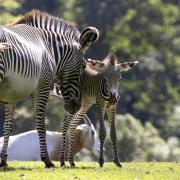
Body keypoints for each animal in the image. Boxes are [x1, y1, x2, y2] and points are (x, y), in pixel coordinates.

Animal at [0, 9, 99, 167]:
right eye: (84, 66)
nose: (76, 107)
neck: (48, 49)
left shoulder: (11, 94)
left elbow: (8, 126)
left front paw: (3, 160)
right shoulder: (42, 87)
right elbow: (41, 124)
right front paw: (47, 160)